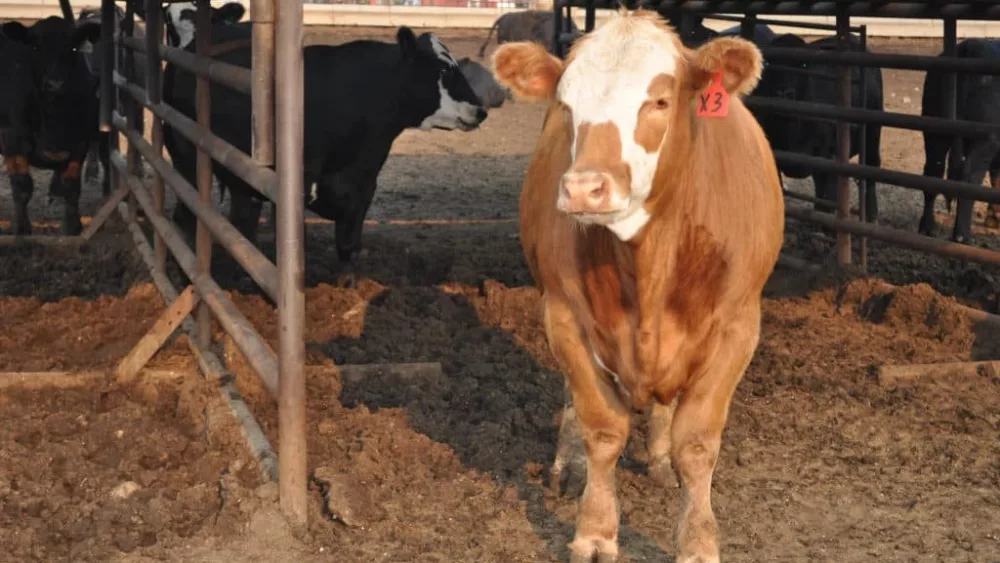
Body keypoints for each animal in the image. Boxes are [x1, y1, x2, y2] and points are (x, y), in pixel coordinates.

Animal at [0, 16, 102, 235]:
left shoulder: (79, 143)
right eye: (35, 47)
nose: (55, 83)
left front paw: (73, 227)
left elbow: (71, 186)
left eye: (73, 48)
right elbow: (22, 186)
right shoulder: (12, 140)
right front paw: (23, 229)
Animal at [162, 23, 487, 284]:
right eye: (443, 70)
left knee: (243, 223)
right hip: (186, 161)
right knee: (184, 218)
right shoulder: (295, 188)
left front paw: (347, 288)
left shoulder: (363, 186)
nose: (481, 110)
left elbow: (348, 244)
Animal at [492, 9, 784, 563]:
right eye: (567, 105)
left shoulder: (739, 326)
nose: (584, 188)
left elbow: (698, 444)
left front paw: (697, 540)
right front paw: (595, 531)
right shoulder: (564, 316)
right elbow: (602, 430)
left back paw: (660, 459)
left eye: (660, 101)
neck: (649, 260)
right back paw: (570, 465)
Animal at [753, 33, 883, 222]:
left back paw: (871, 215)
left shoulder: (827, 152)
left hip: (873, 130)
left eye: (804, 64)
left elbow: (826, 190)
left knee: (871, 166)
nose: (783, 92)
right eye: (769, 63)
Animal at [920, 38, 1000, 243]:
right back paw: (962, 236)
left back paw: (928, 227)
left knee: (933, 170)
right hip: (985, 139)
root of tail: (971, 46)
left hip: (934, 128)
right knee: (969, 177)